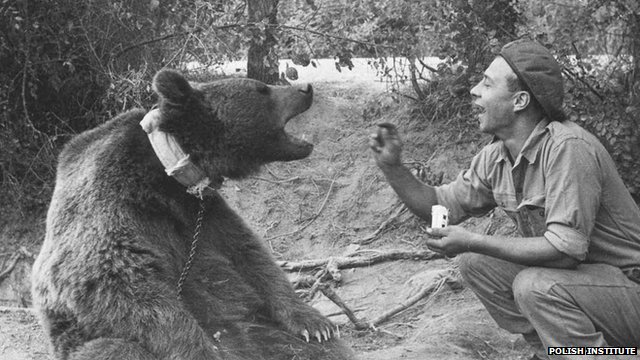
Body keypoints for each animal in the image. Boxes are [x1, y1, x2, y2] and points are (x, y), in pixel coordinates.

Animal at [31, 69, 356, 358]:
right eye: (262, 89)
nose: (306, 88)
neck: (171, 173)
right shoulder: (113, 206)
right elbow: (117, 282)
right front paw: (200, 348)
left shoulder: (205, 211)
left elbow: (250, 255)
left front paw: (315, 323)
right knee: (117, 349)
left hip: (262, 331)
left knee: (319, 351)